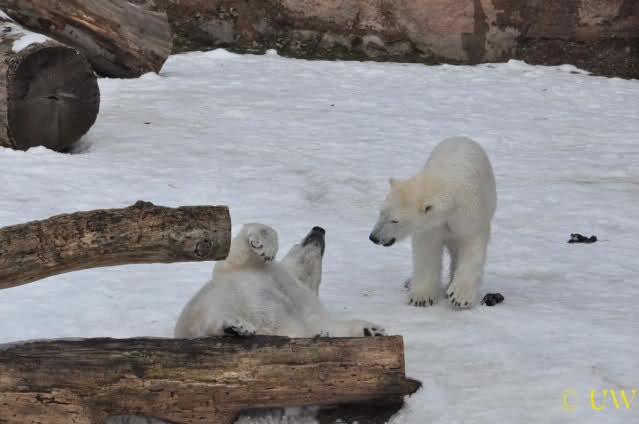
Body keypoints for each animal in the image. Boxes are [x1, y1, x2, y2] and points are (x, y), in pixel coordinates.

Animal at [174, 223, 386, 338]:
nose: (318, 229)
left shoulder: (309, 309)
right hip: (208, 305)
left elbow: (325, 326)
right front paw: (263, 244)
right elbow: (235, 256)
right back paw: (236, 324)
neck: (296, 281)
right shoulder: (246, 270)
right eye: (295, 243)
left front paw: (372, 329)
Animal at [368, 136, 497, 309]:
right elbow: (427, 250)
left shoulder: (470, 214)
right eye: (381, 212)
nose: (373, 237)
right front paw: (421, 297)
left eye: (394, 220)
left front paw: (459, 296)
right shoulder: (430, 226)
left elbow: (471, 245)